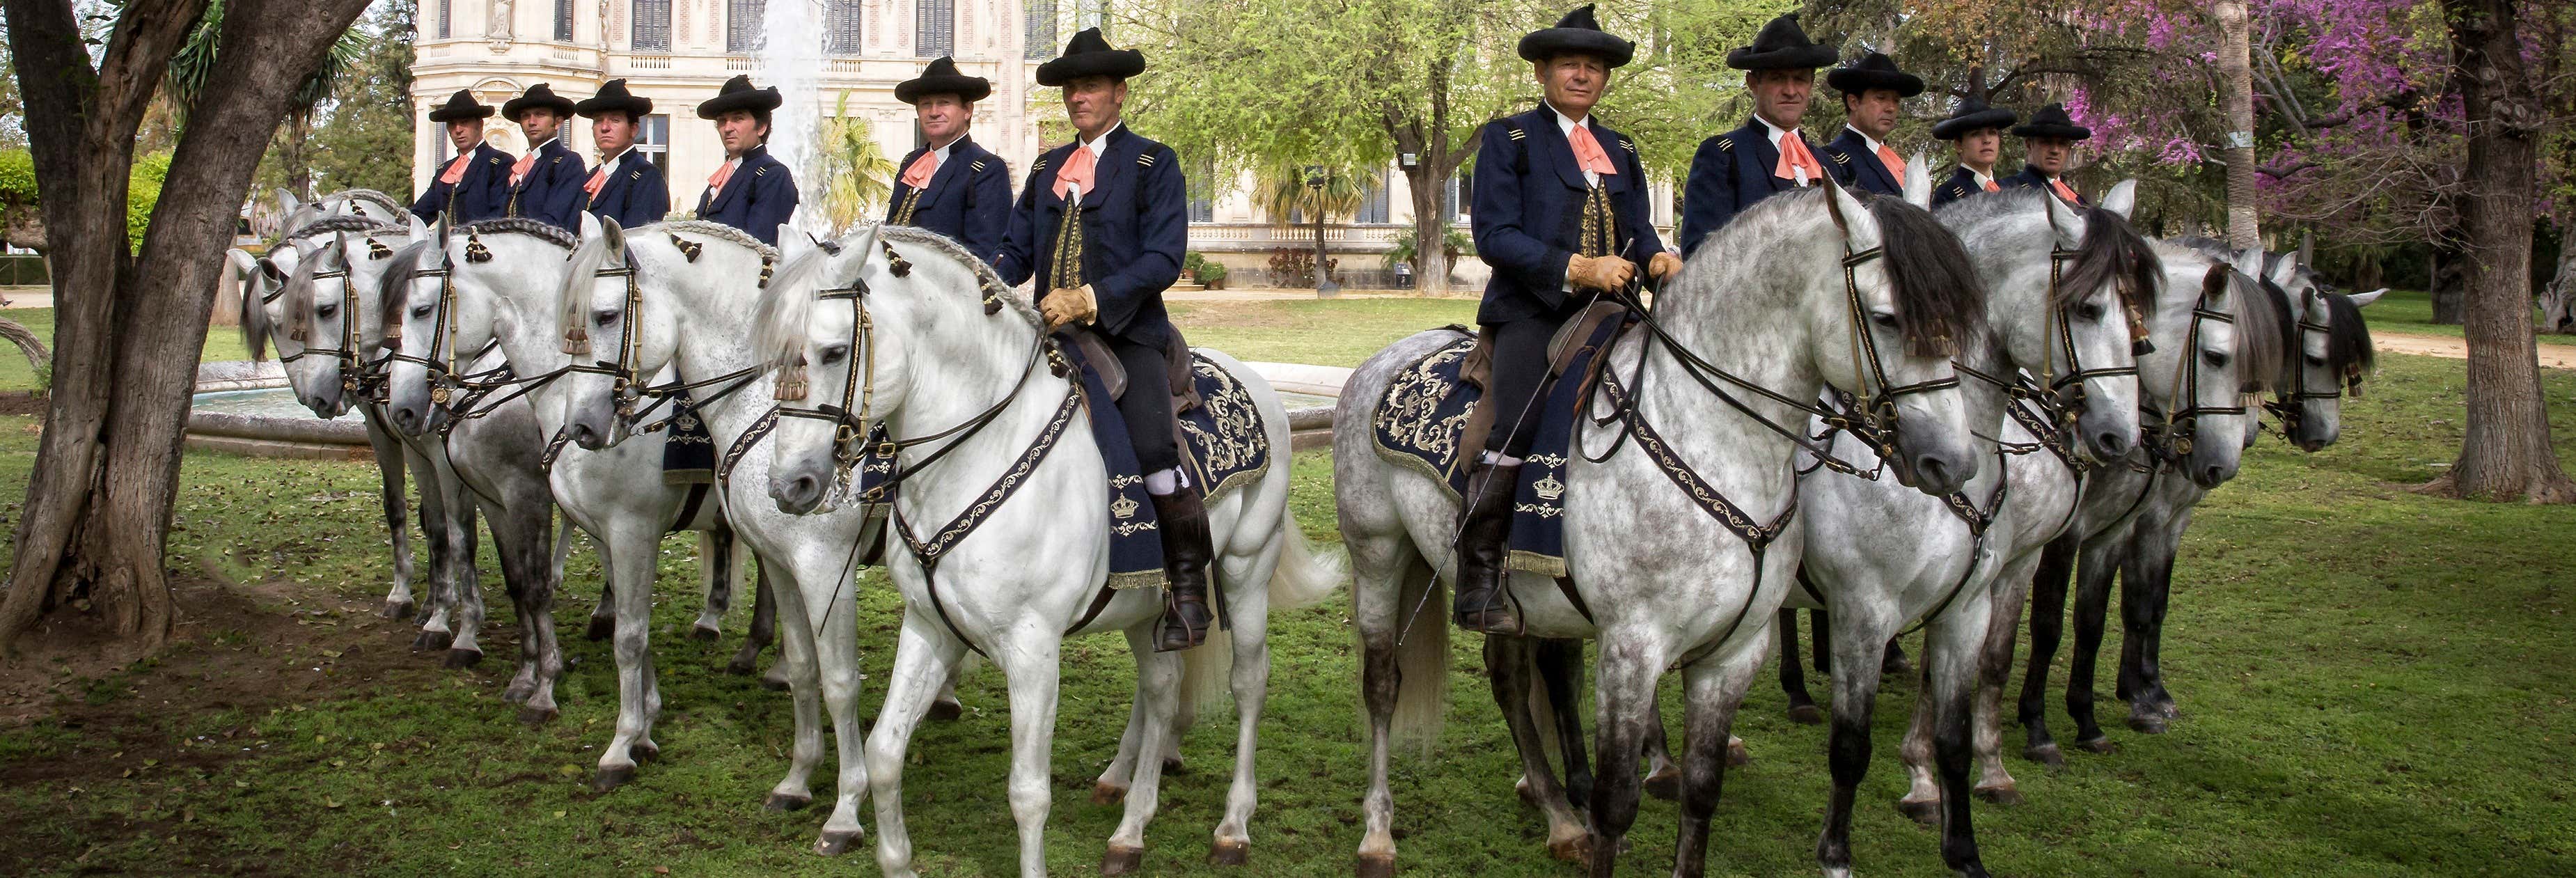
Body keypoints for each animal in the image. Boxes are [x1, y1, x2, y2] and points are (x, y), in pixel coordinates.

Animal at [373, 213, 773, 787]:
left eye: (422, 309)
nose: (401, 407)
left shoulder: (595, 517)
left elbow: (578, 607)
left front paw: (558, 700)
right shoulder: (561, 518)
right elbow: (540, 590)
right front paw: (640, 723)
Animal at [747, 222, 1349, 870]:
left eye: (834, 352)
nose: (788, 484)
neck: (977, 448)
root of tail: (1257, 383)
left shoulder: (1032, 648)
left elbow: (1028, 791)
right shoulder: (929, 625)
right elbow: (885, 751)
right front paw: (893, 856)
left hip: (1245, 572)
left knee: (1248, 682)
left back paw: (1233, 824)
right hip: (1147, 606)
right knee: (1161, 688)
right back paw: (1130, 819)